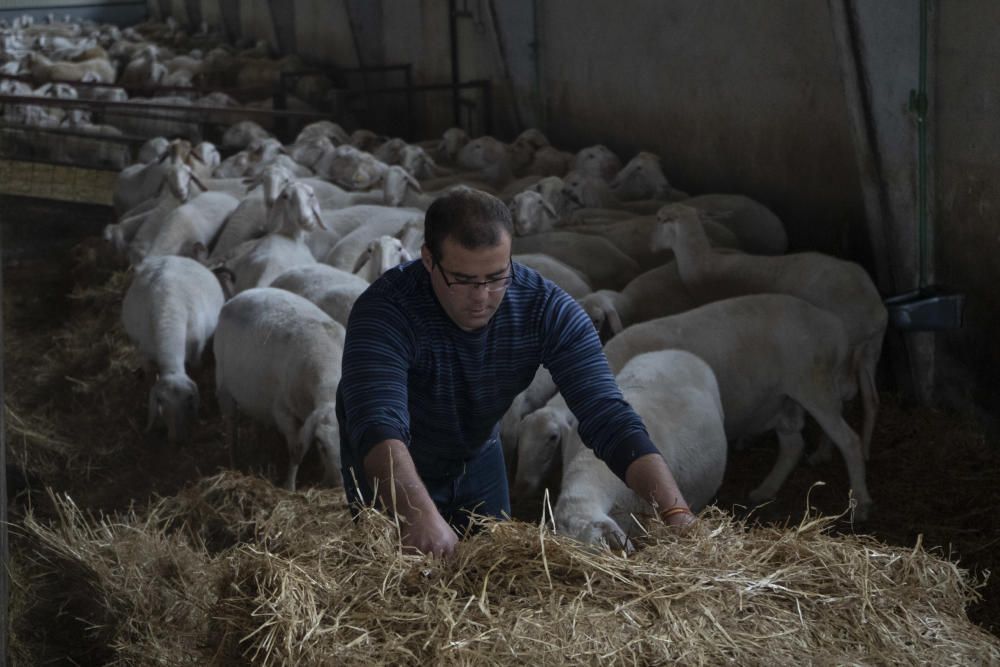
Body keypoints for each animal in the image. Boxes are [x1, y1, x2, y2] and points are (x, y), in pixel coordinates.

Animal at [121, 258, 225, 446]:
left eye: (190, 398)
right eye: (160, 401)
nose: (178, 440)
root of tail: (173, 257)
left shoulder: (196, 351)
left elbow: (197, 368)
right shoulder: (144, 353)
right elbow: (149, 376)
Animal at [213, 288, 346, 490]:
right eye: (320, 444)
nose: (339, 485)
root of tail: (242, 294)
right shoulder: (283, 411)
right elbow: (296, 451)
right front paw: (289, 486)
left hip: (257, 395)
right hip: (223, 386)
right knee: (231, 426)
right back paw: (234, 462)